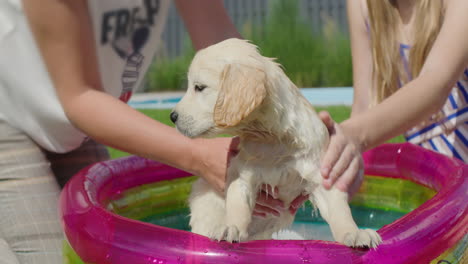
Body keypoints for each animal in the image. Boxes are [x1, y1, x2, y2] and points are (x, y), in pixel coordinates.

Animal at [170, 38, 382, 248]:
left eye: (199, 87)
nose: (172, 116)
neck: (273, 139)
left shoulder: (320, 171)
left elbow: (339, 209)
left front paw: (354, 233)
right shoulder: (242, 173)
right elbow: (238, 205)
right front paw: (232, 227)